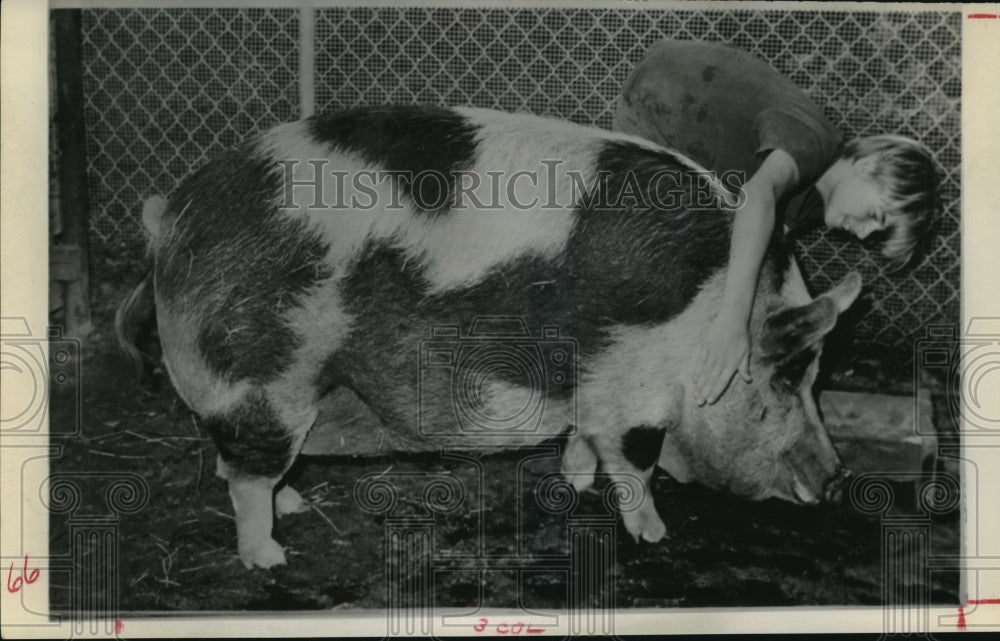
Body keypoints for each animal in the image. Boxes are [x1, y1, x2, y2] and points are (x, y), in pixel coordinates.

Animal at [117, 105, 858, 570]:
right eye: (790, 372)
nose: (836, 477)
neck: (706, 319)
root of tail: (173, 214)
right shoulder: (630, 389)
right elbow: (635, 463)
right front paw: (654, 536)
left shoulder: (593, 392)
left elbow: (585, 444)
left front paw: (574, 486)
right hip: (264, 374)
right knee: (246, 472)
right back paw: (270, 557)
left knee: (238, 461)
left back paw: (295, 505)